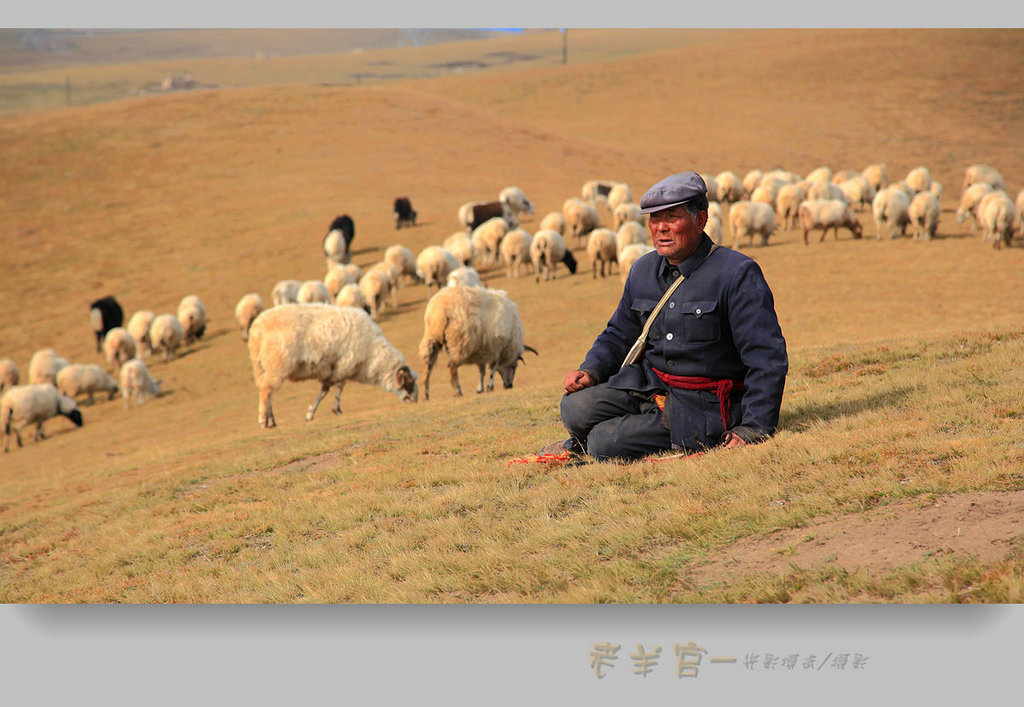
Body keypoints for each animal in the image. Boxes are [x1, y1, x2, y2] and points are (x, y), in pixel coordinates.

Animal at [245, 301, 417, 426]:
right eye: (408, 382)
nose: (415, 400)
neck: (372, 354)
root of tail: (257, 329)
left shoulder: (333, 370)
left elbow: (326, 390)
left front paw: (311, 413)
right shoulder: (343, 365)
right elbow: (336, 388)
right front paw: (334, 410)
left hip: (263, 366)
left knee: (267, 391)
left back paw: (271, 420)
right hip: (277, 364)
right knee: (266, 391)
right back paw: (263, 421)